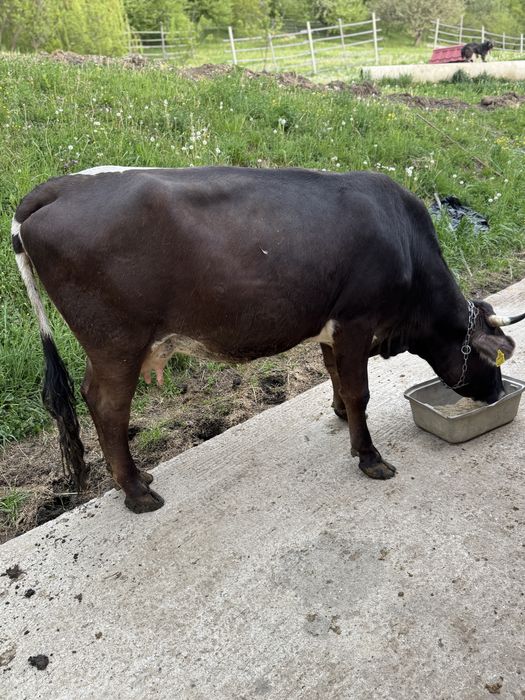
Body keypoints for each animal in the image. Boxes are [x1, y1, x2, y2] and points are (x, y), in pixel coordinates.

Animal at [12, 166, 524, 514]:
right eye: (493, 360)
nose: (497, 394)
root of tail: (60, 188)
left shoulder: (331, 324)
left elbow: (335, 374)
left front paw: (340, 414)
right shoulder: (356, 321)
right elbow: (360, 391)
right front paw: (369, 457)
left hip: (111, 346)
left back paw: (137, 478)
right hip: (116, 343)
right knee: (106, 406)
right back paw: (137, 492)